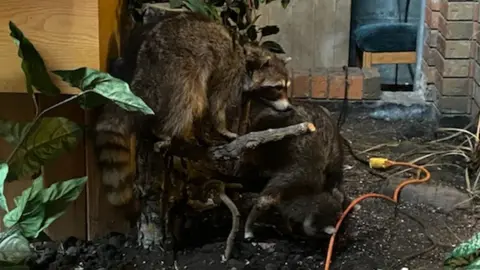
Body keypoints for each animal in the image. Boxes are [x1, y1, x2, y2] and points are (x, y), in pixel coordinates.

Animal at [95, 10, 292, 206]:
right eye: (278, 88)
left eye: (286, 87)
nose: (289, 107)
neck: (245, 56)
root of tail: (146, 58)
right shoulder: (229, 72)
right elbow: (216, 103)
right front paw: (221, 128)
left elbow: (206, 107)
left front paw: (202, 135)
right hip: (180, 65)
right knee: (188, 99)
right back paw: (164, 130)